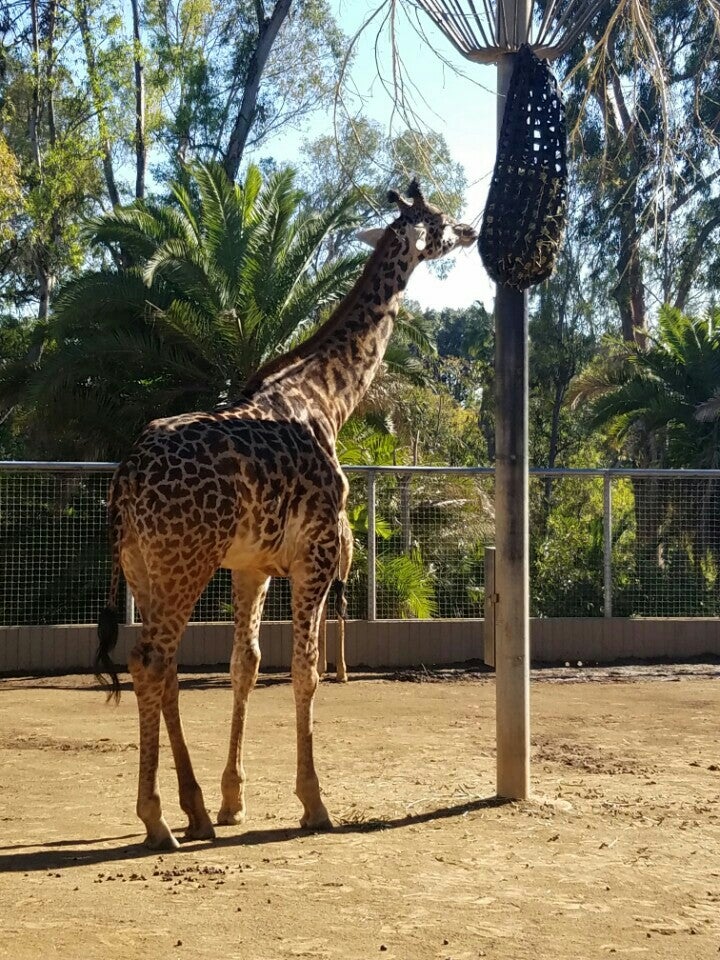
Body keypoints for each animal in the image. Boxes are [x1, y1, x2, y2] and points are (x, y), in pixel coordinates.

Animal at [95, 180, 478, 848]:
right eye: (436, 218)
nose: (471, 230)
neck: (329, 399)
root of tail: (126, 477)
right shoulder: (316, 554)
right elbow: (304, 671)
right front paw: (314, 802)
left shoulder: (253, 567)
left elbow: (244, 665)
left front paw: (232, 800)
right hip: (182, 562)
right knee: (150, 660)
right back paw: (156, 819)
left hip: (143, 566)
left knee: (165, 667)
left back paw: (192, 810)